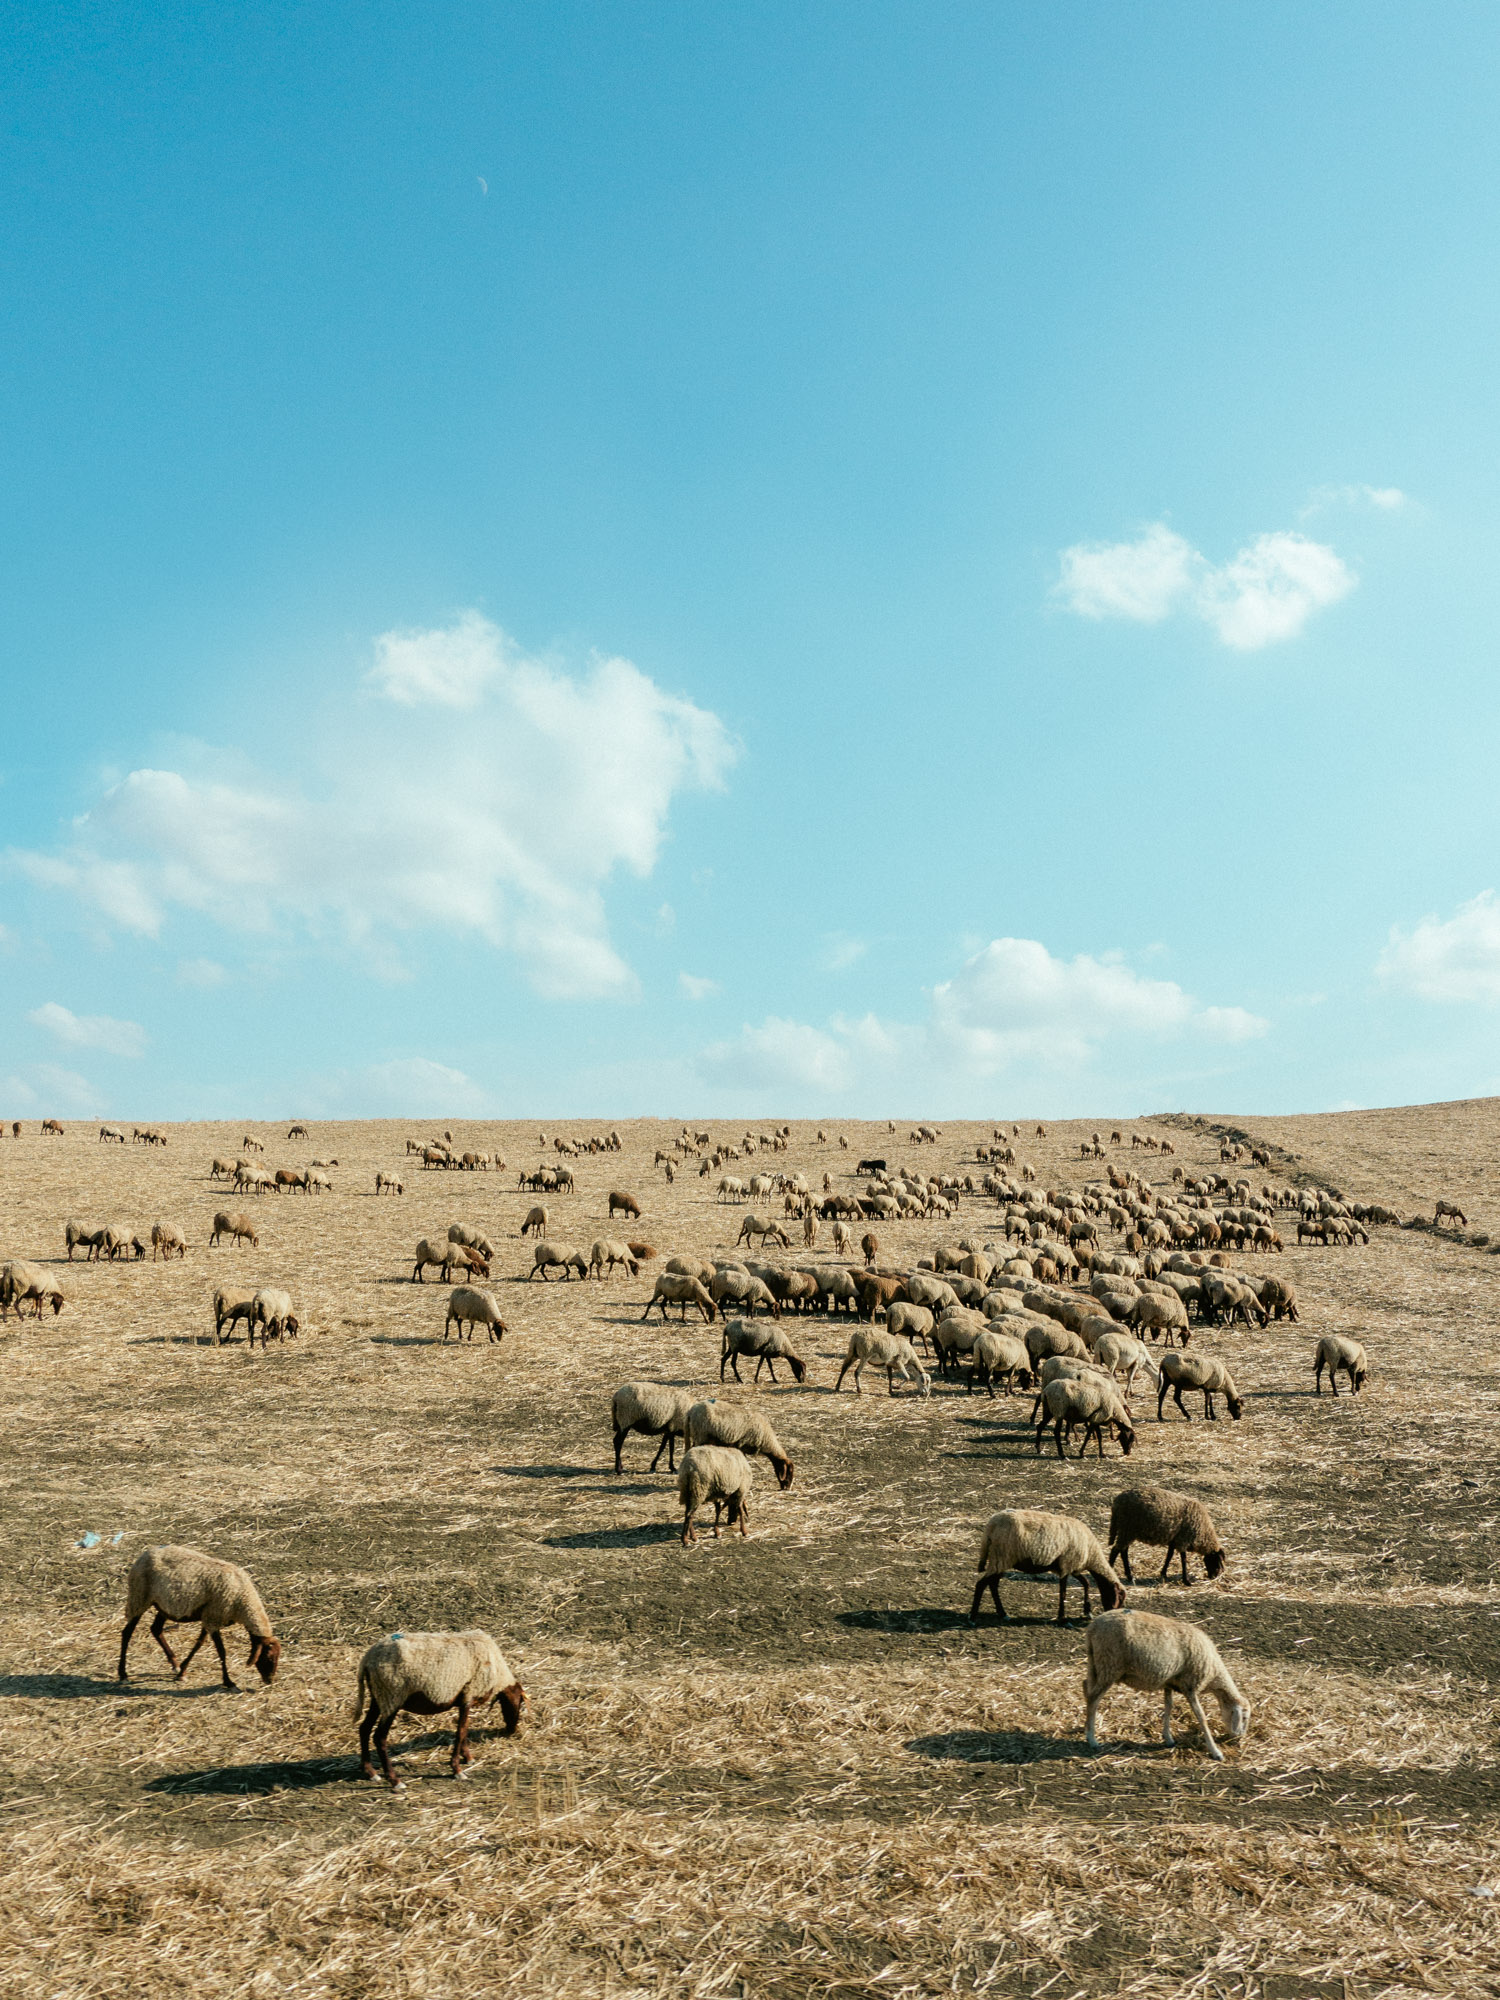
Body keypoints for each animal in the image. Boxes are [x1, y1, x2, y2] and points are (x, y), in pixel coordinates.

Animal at [118, 1544, 282, 1688]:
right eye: (268, 1657)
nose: (270, 1680)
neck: (243, 1600)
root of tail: (144, 1554)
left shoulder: (209, 1617)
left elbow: (199, 1644)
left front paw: (182, 1671)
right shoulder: (213, 1617)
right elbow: (221, 1651)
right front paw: (228, 1682)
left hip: (163, 1605)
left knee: (156, 1629)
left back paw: (175, 1664)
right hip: (139, 1597)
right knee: (127, 1632)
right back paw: (123, 1674)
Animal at [354, 1624, 528, 1800]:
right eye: (519, 1704)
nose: (512, 1731)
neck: (498, 1673)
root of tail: (368, 1659)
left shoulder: (464, 1699)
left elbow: (464, 1731)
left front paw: (468, 1758)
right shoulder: (468, 1695)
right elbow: (460, 1732)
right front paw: (457, 1770)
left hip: (379, 1696)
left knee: (364, 1728)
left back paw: (370, 1772)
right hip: (392, 1696)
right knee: (379, 1737)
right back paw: (395, 1780)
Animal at [1088, 1616, 1248, 1760]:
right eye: (1245, 1718)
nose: (1239, 1738)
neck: (1214, 1676)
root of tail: (1093, 1626)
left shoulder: (1169, 1683)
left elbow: (1168, 1706)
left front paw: (1168, 1738)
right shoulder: (1190, 1687)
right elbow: (1201, 1717)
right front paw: (1216, 1751)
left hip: (1096, 1665)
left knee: (1086, 1688)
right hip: (1109, 1665)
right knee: (1093, 1699)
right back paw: (1091, 1739)